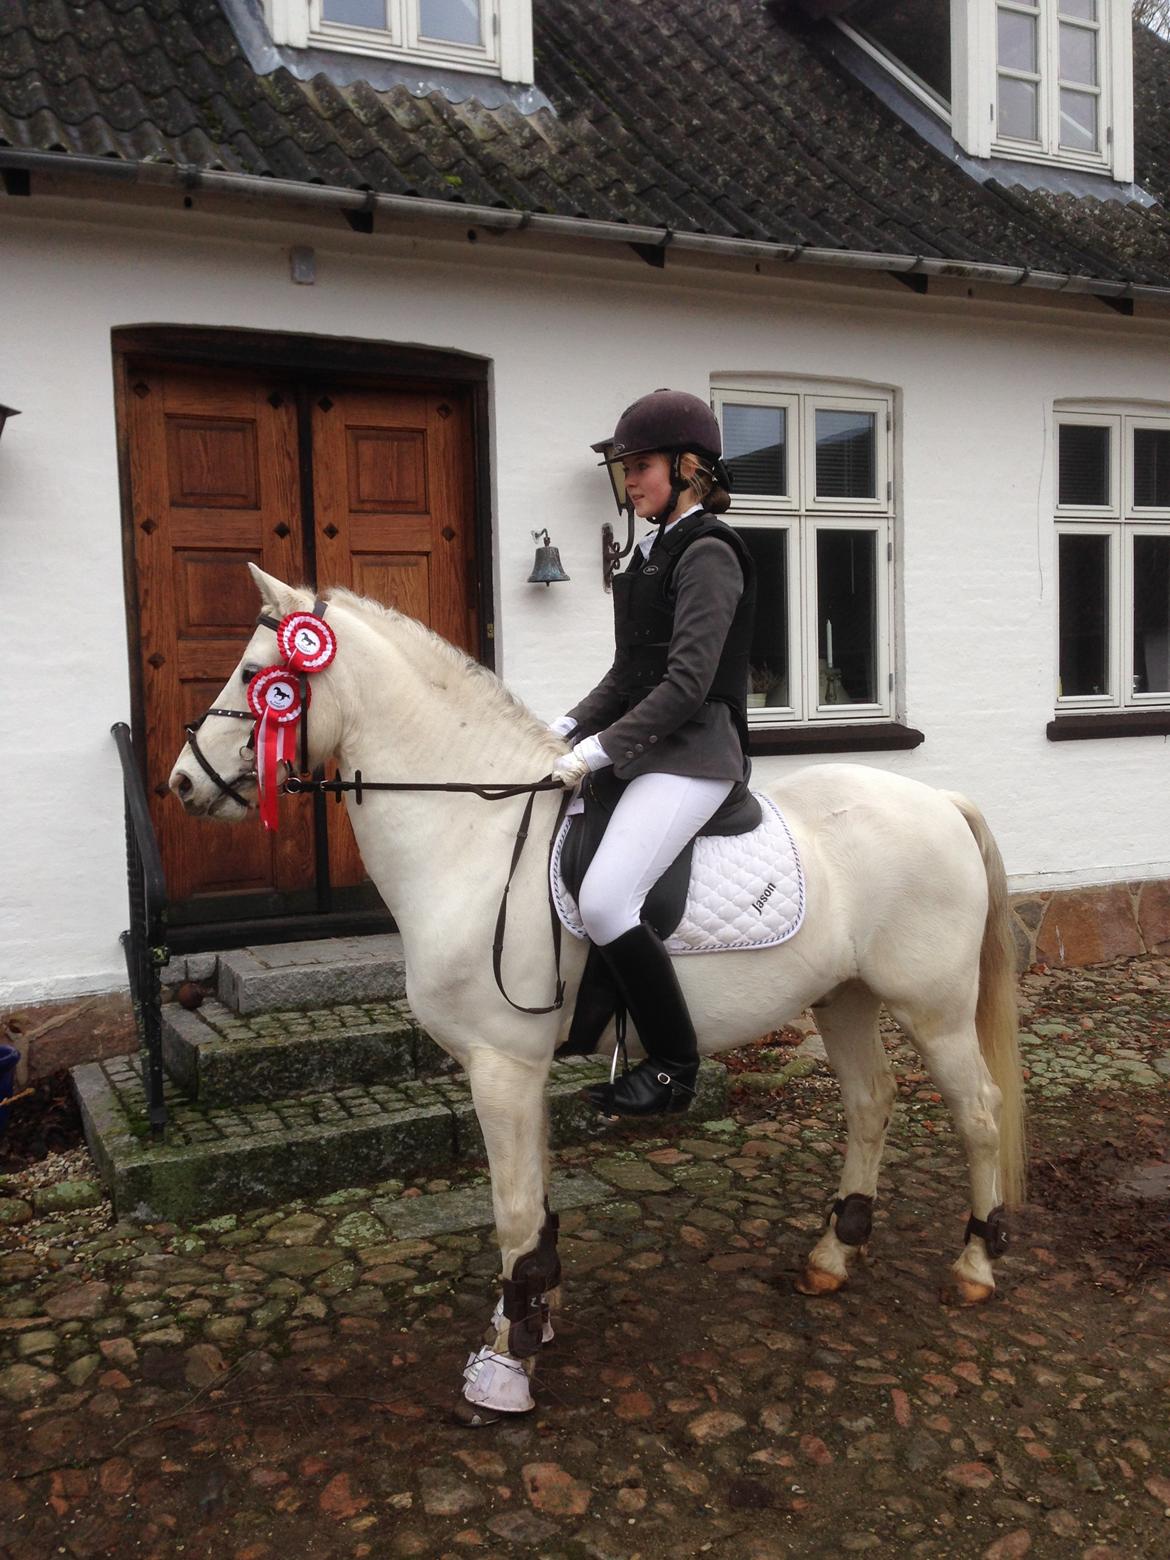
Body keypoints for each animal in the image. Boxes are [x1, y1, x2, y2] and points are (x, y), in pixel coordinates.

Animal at [168, 565, 1024, 1420]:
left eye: (257, 675)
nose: (181, 783)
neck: (473, 837)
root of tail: (941, 802)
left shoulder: (501, 1065)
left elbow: (515, 1211)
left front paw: (504, 1366)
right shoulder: (521, 1069)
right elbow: (537, 1205)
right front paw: (534, 1319)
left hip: (935, 1009)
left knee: (979, 1113)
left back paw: (975, 1266)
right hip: (844, 996)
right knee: (871, 1102)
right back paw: (833, 1255)